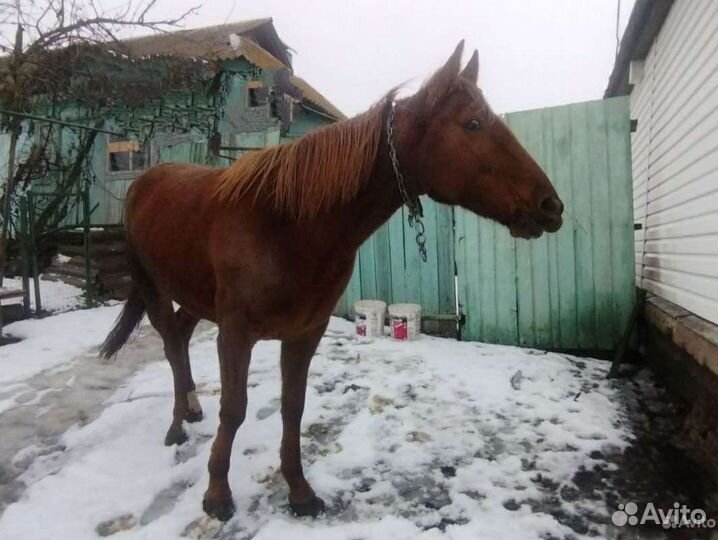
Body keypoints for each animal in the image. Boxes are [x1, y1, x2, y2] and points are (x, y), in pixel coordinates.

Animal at [101, 40, 564, 522]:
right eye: (472, 124)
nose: (551, 206)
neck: (286, 226)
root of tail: (144, 181)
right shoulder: (235, 333)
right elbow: (234, 409)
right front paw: (217, 493)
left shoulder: (306, 332)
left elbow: (293, 407)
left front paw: (299, 491)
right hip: (153, 288)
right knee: (172, 344)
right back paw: (177, 425)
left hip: (194, 295)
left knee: (181, 334)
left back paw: (191, 409)